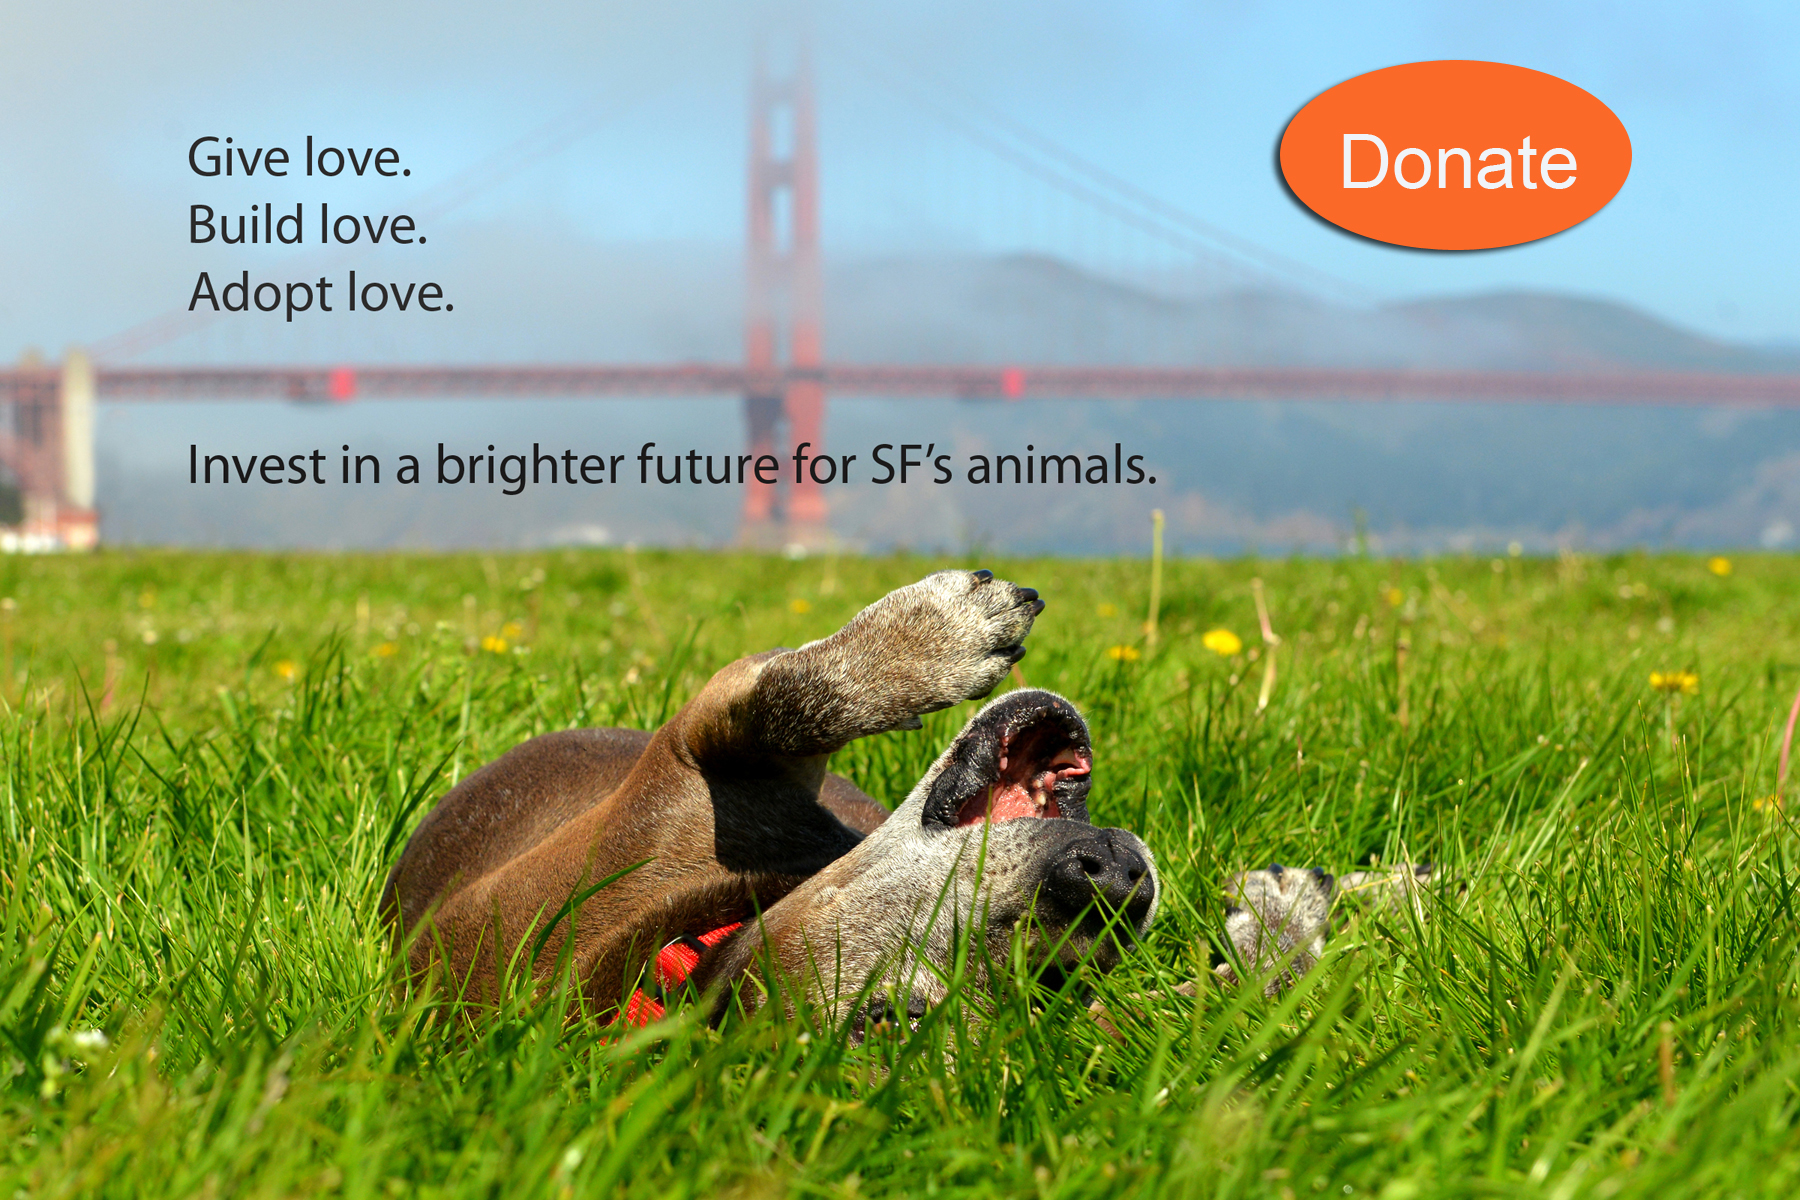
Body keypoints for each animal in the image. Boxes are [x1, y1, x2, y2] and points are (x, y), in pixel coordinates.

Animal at [381, 568, 1159, 1029]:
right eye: (892, 1020)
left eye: (1062, 992)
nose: (1111, 882)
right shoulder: (693, 755)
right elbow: (792, 699)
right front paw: (932, 639)